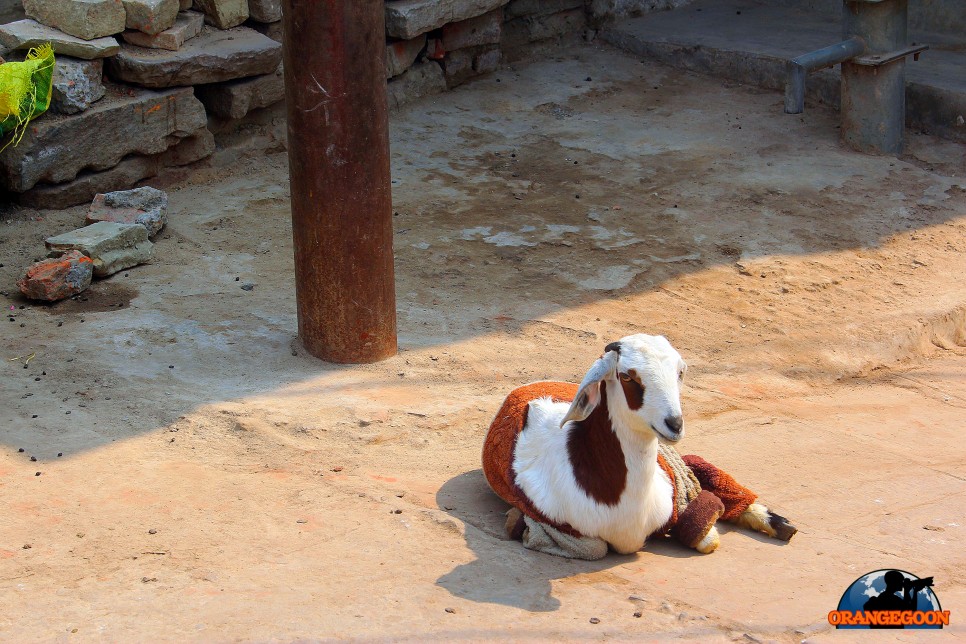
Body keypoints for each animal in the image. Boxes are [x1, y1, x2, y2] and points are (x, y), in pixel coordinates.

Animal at [482, 334, 796, 556]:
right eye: (626, 376)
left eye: (680, 372)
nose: (674, 424)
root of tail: (529, 385)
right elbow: (594, 547)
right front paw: (520, 524)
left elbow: (707, 538)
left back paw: (779, 524)